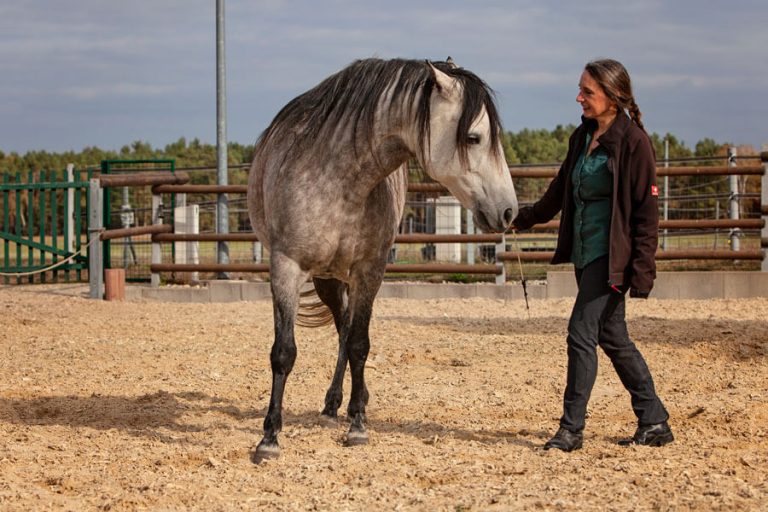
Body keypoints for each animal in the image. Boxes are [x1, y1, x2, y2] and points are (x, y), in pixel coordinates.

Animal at [249, 58, 520, 462]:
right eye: (474, 138)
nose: (508, 211)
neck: (339, 180)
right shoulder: (286, 268)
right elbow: (284, 352)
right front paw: (269, 437)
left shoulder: (370, 271)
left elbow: (360, 345)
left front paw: (358, 425)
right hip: (327, 279)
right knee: (341, 326)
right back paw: (334, 402)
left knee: (348, 333)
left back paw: (347, 402)